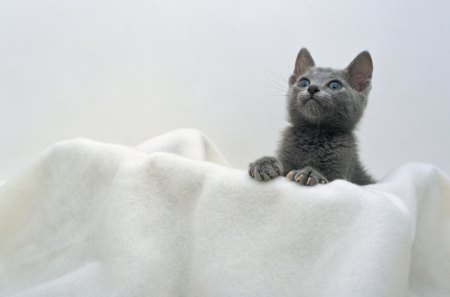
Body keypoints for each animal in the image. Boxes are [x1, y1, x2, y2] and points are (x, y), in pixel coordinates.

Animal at [248, 47, 374, 184]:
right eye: (303, 82)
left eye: (334, 85)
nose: (312, 88)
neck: (315, 132)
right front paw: (264, 163)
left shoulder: (341, 172)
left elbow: (330, 178)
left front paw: (310, 173)